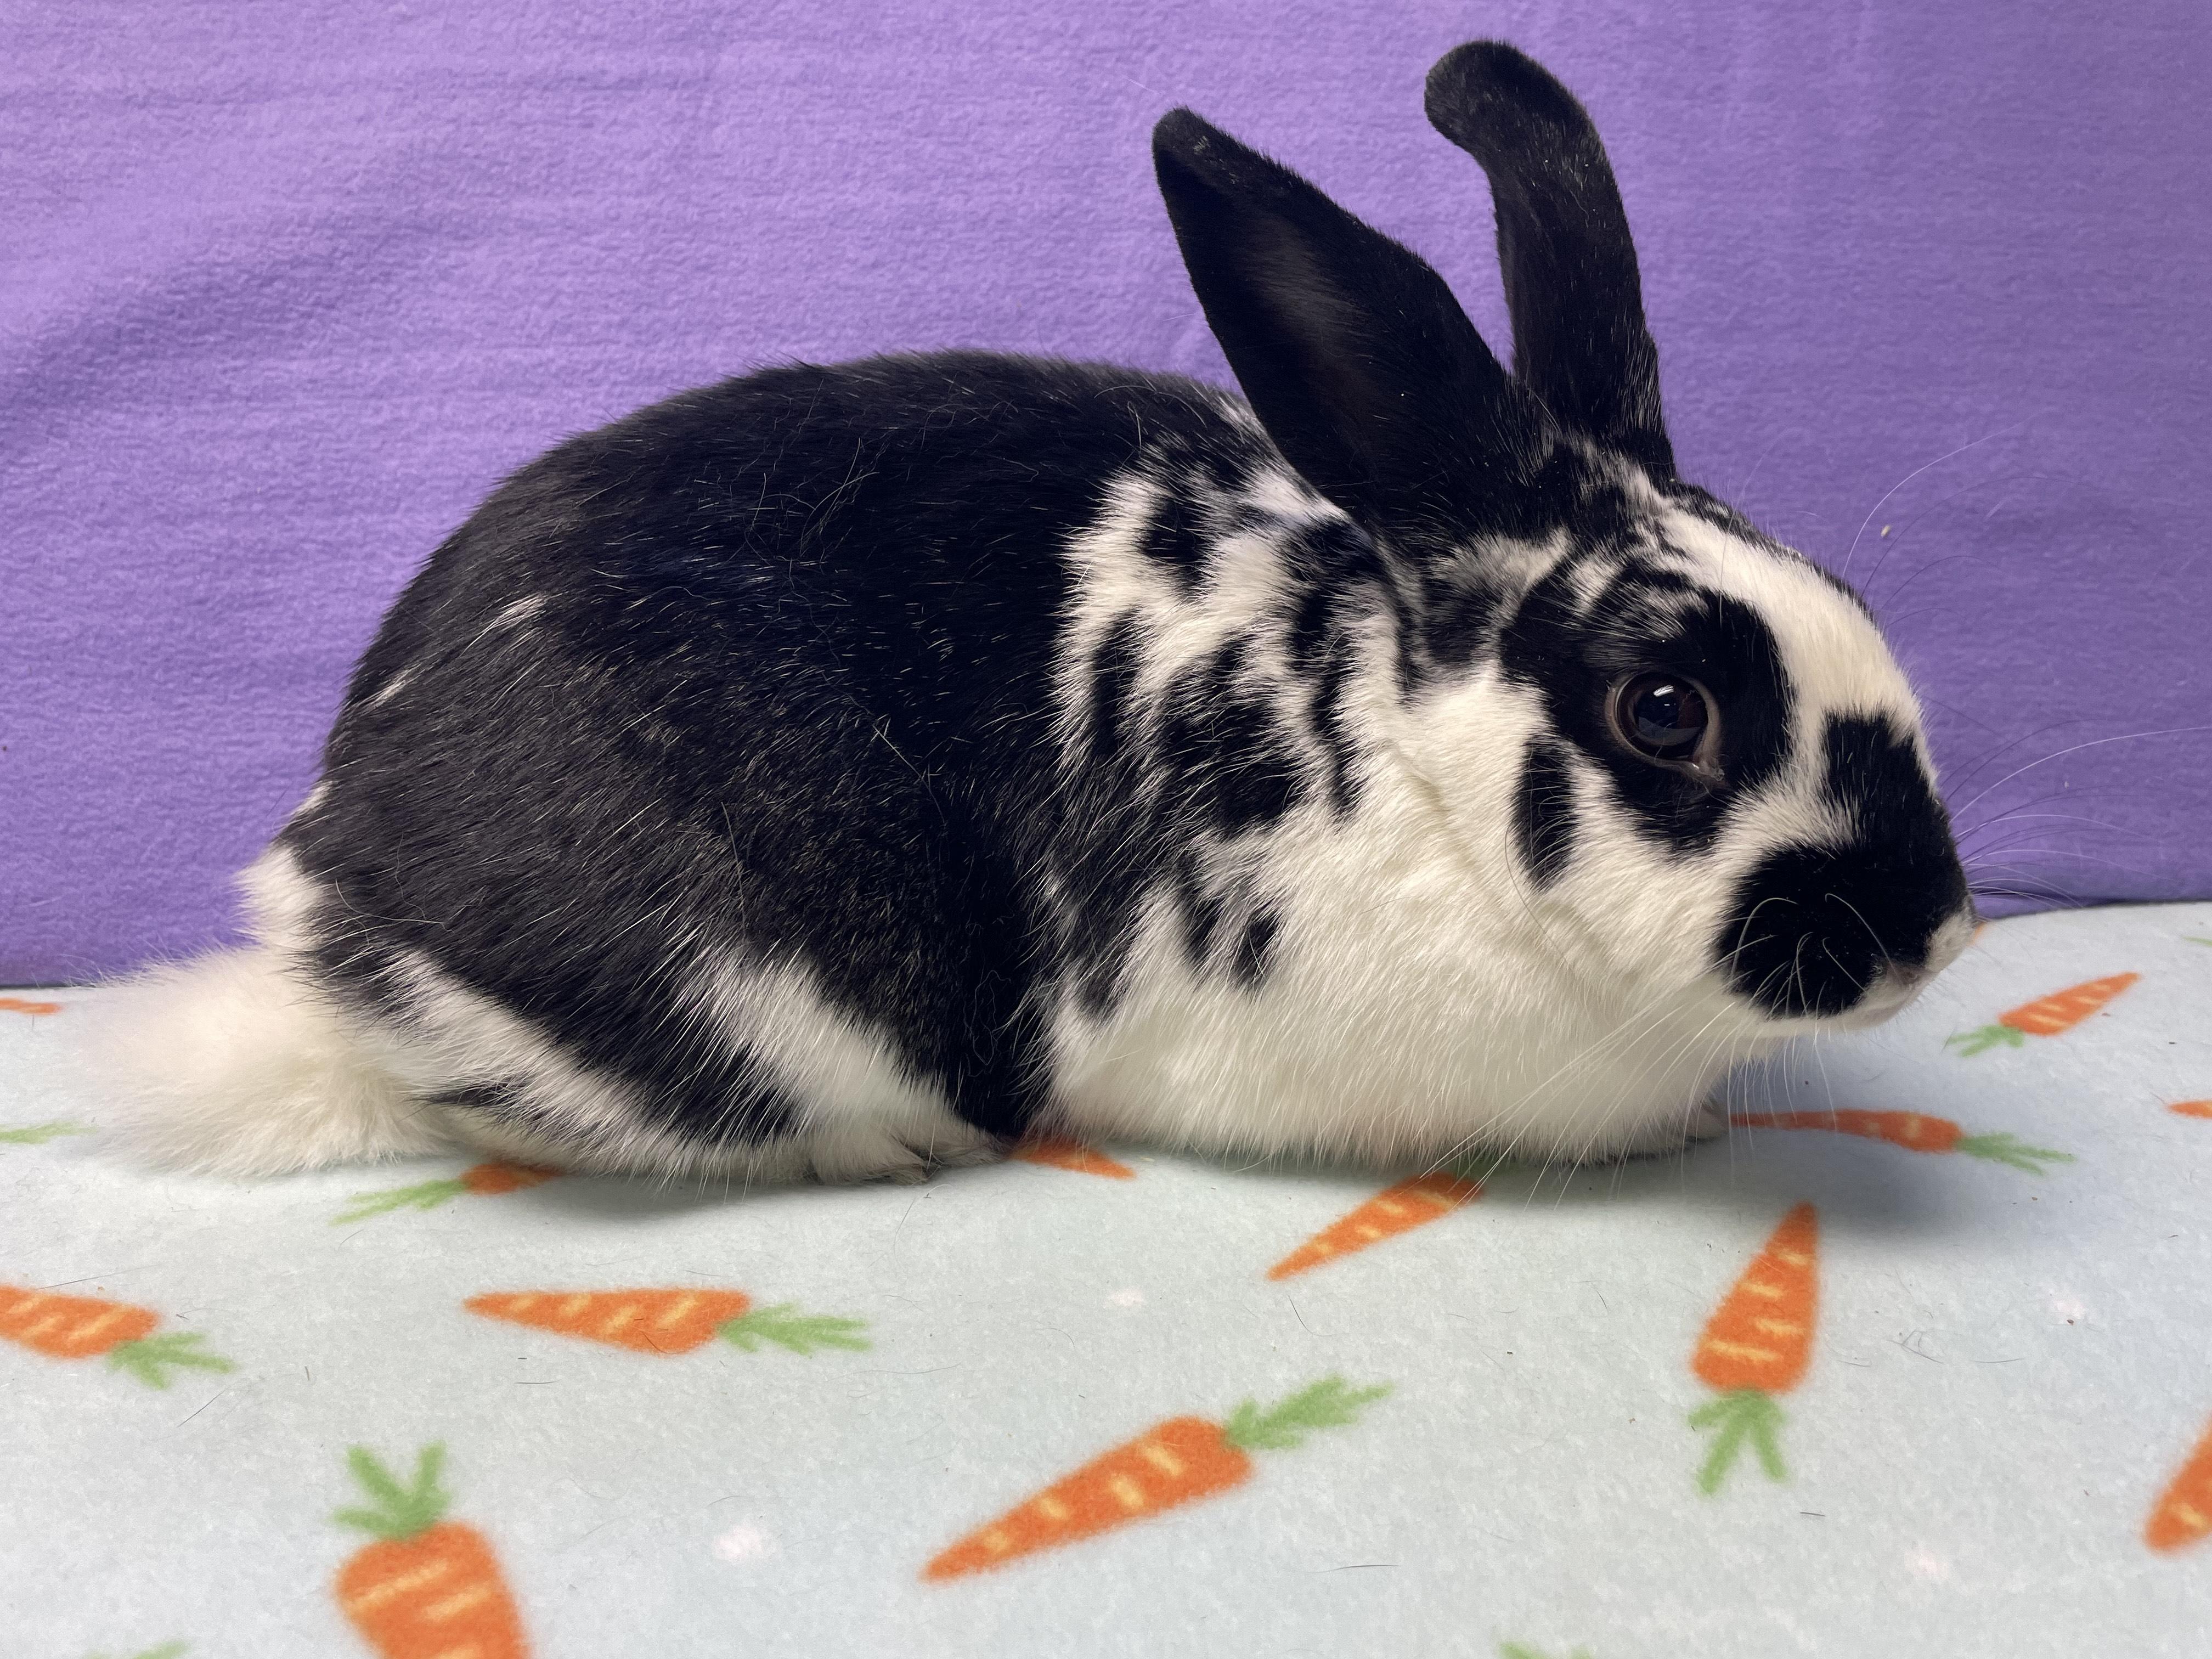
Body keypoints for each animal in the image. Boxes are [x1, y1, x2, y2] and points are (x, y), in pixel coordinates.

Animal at [92, 41, 1973, 1185]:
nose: (1935, 931)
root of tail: (326, 895)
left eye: (1862, 602)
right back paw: (889, 1149)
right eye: (1668, 710)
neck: (1413, 773)